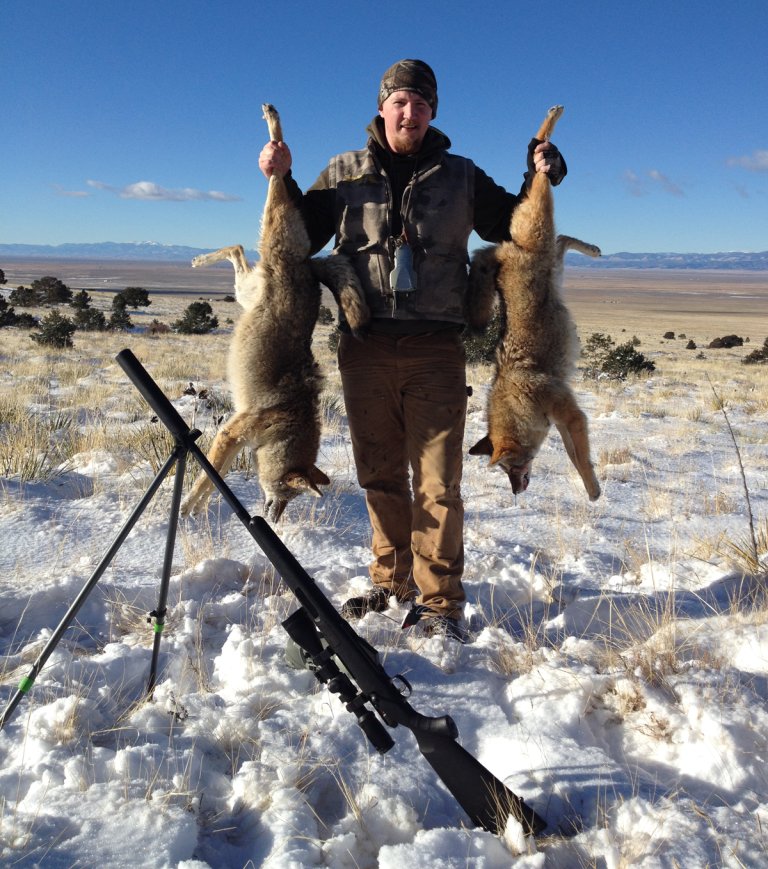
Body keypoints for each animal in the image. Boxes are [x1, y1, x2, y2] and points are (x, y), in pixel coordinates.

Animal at [181, 104, 369, 521]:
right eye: (286, 492)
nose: (274, 519)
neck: (286, 425)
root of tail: (308, 266)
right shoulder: (230, 434)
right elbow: (205, 478)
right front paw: (185, 508)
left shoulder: (234, 439)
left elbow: (214, 480)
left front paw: (194, 510)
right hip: (274, 224)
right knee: (276, 178)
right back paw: (275, 133)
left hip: (246, 289)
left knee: (236, 247)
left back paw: (200, 260)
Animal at [466, 105, 601, 501]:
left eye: (510, 469)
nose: (515, 493)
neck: (519, 397)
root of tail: (506, 253)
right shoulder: (564, 418)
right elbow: (574, 454)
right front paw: (593, 491)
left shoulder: (570, 414)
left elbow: (580, 459)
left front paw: (593, 491)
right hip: (552, 258)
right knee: (564, 237)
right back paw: (594, 249)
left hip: (540, 219)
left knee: (541, 172)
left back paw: (548, 128)